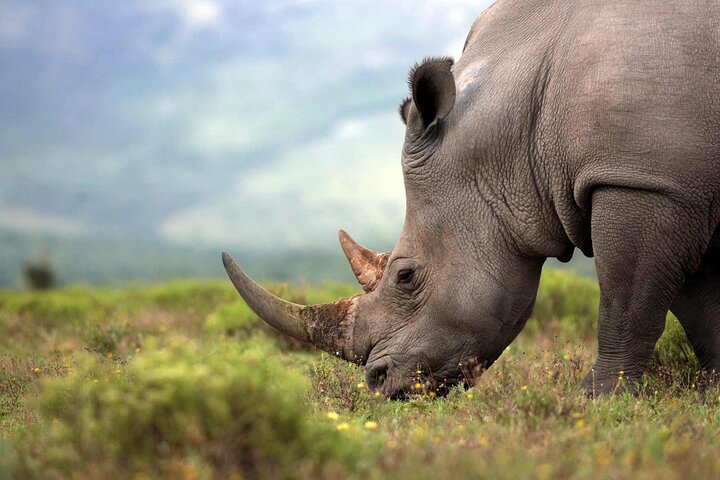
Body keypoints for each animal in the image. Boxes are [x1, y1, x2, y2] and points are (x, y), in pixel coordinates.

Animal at [222, 0, 720, 397]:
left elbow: (626, 300)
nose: (378, 382)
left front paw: (599, 400)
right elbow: (699, 307)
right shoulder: (678, 186)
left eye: (405, 276)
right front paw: (712, 392)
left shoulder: (640, 179)